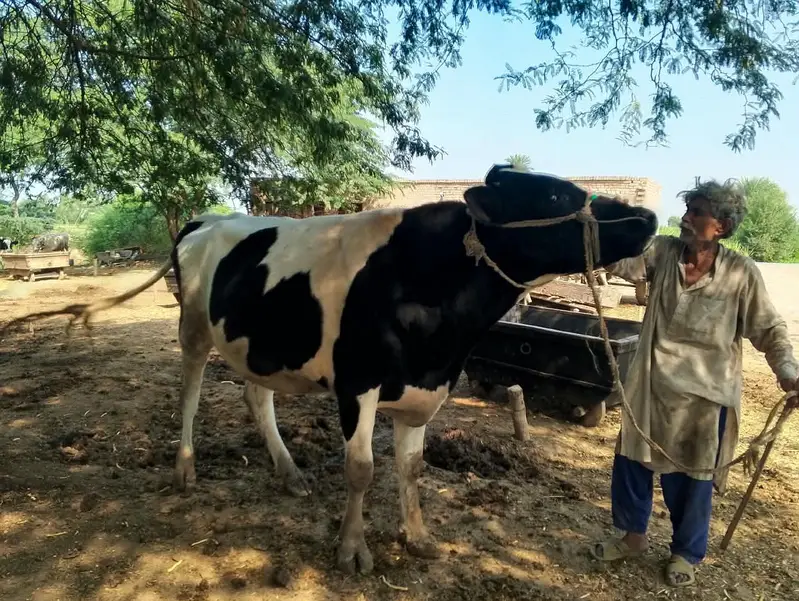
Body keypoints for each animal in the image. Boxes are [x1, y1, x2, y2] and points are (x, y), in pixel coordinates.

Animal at [2, 165, 658, 575]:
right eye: (554, 198)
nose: (648, 221)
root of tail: (207, 219)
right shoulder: (357, 383)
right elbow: (362, 469)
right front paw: (352, 550)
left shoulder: (426, 387)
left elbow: (412, 468)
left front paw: (418, 537)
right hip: (192, 327)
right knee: (188, 392)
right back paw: (184, 468)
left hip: (258, 342)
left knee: (256, 397)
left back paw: (288, 471)